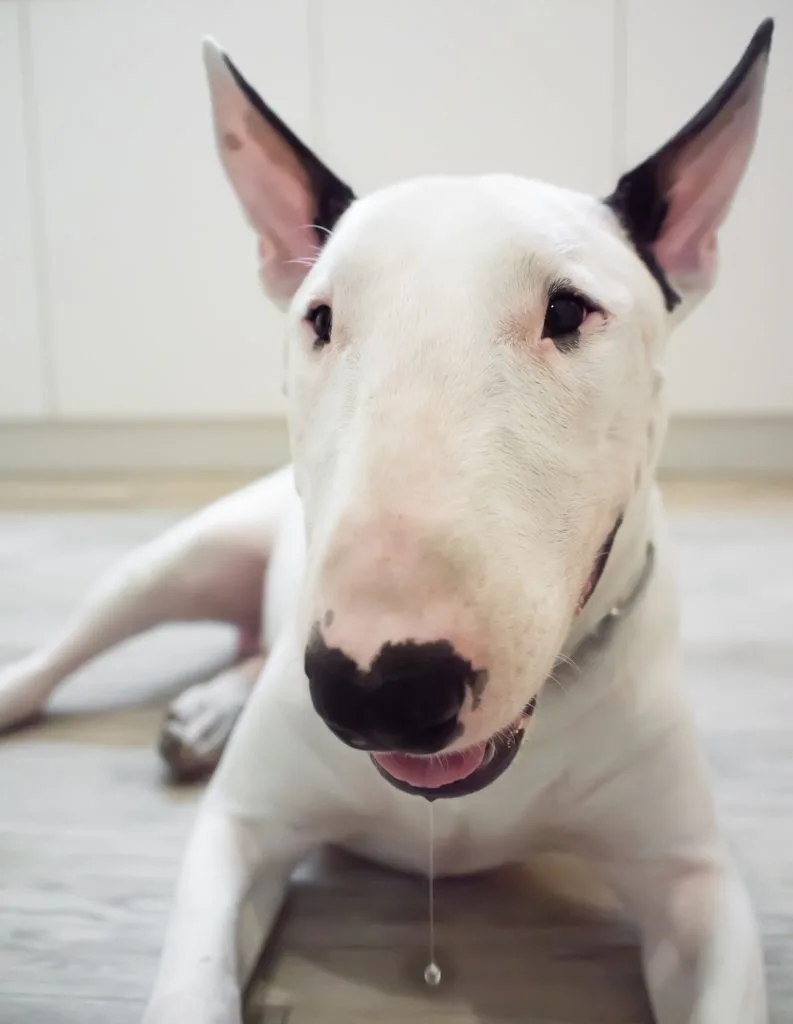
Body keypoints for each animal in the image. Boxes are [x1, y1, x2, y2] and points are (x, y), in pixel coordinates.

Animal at [0, 16, 774, 1024]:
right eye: (319, 319)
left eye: (568, 311)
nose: (377, 691)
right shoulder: (238, 831)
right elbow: (192, 976)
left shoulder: (695, 886)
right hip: (177, 559)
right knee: (66, 654)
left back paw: (209, 712)